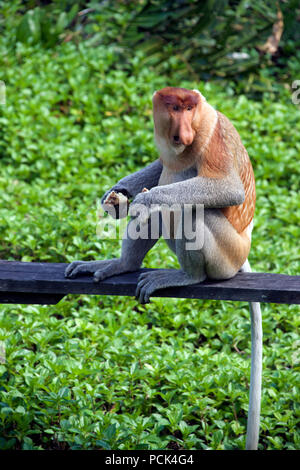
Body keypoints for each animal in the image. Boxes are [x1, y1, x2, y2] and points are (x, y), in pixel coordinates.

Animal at [65, 88, 255, 304]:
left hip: (229, 257)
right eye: (175, 108)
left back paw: (189, 276)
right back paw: (123, 264)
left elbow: (230, 188)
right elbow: (161, 166)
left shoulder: (213, 135)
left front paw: (146, 199)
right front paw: (117, 193)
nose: (185, 134)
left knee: (195, 212)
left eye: (189, 109)